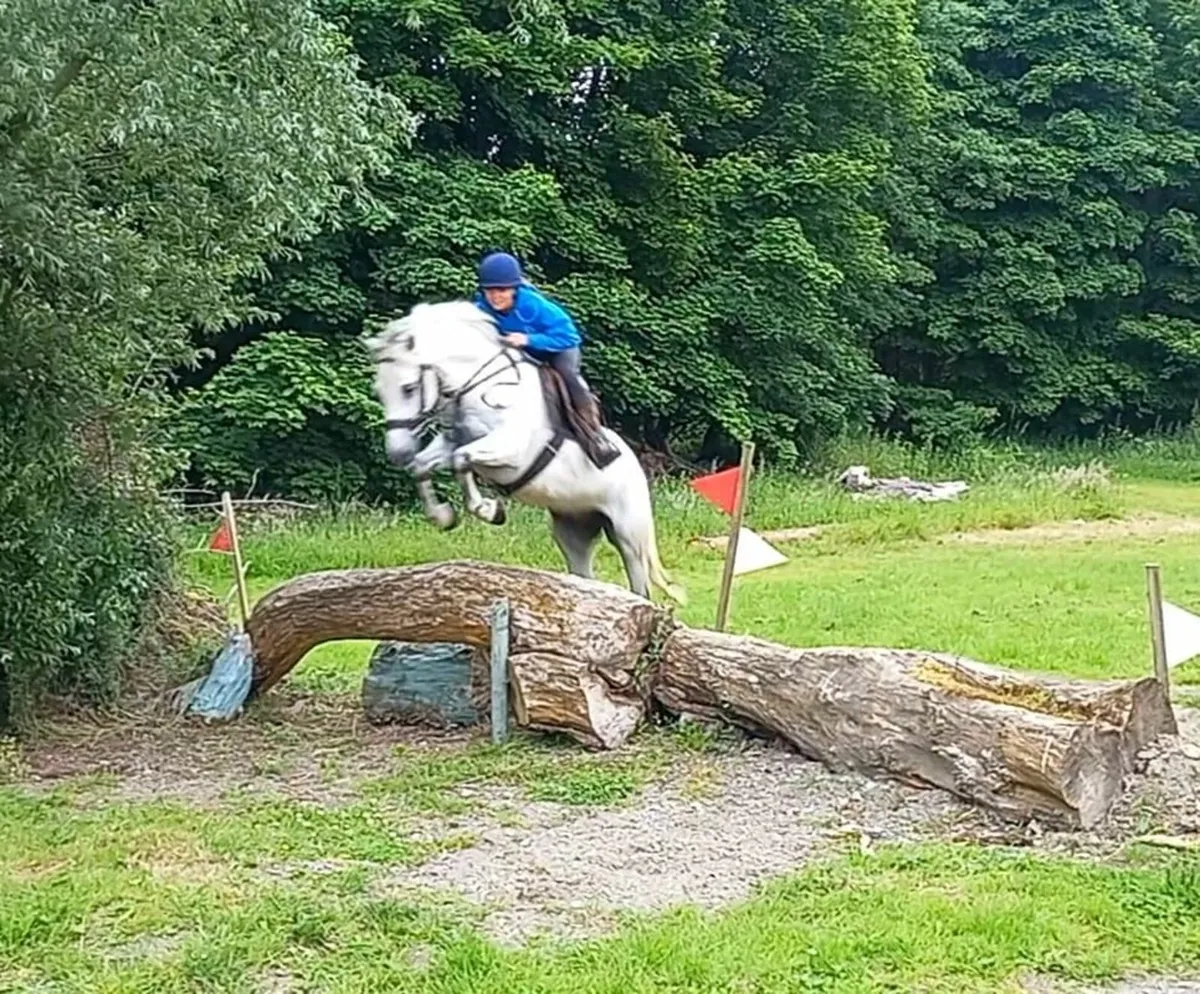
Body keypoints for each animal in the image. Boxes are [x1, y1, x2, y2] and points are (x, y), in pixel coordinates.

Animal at [365, 299, 686, 605]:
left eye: (408, 388)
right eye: (379, 390)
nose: (397, 452)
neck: (483, 386)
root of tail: (638, 469)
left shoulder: (512, 450)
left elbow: (461, 460)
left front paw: (491, 511)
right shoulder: (452, 442)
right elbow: (425, 465)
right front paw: (442, 516)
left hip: (628, 533)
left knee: (639, 583)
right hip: (573, 530)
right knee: (584, 572)